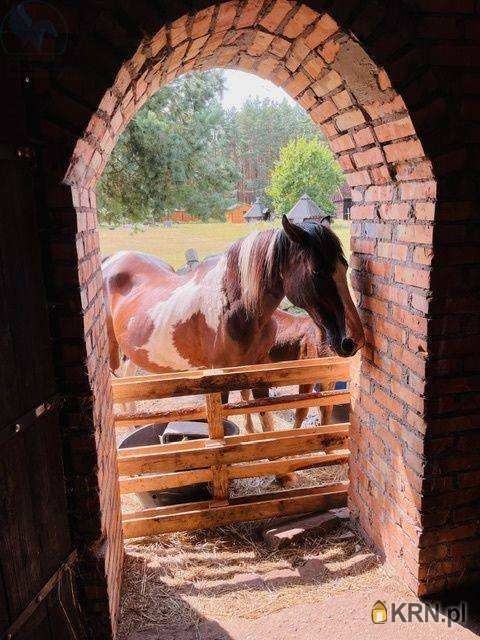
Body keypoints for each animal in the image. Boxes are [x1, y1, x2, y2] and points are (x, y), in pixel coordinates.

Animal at [102, 215, 364, 436]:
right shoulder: (219, 379)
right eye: (317, 270)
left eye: (345, 266)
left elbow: (265, 419)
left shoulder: (257, 368)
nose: (353, 339)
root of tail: (110, 261)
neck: (237, 309)